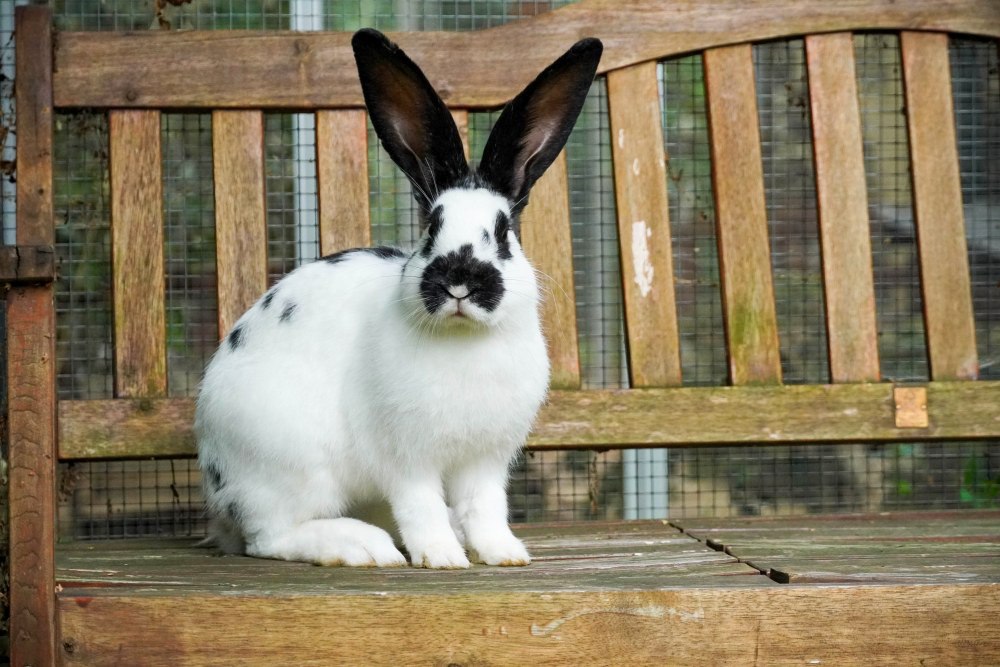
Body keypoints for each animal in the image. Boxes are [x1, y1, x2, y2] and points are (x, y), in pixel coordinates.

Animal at [195, 28, 603, 568]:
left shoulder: (485, 460)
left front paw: (502, 552)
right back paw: (362, 546)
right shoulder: (406, 458)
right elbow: (420, 506)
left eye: (503, 232)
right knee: (271, 537)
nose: (459, 281)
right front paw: (442, 557)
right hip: (291, 464)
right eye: (431, 227)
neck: (464, 343)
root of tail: (219, 493)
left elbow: (486, 507)